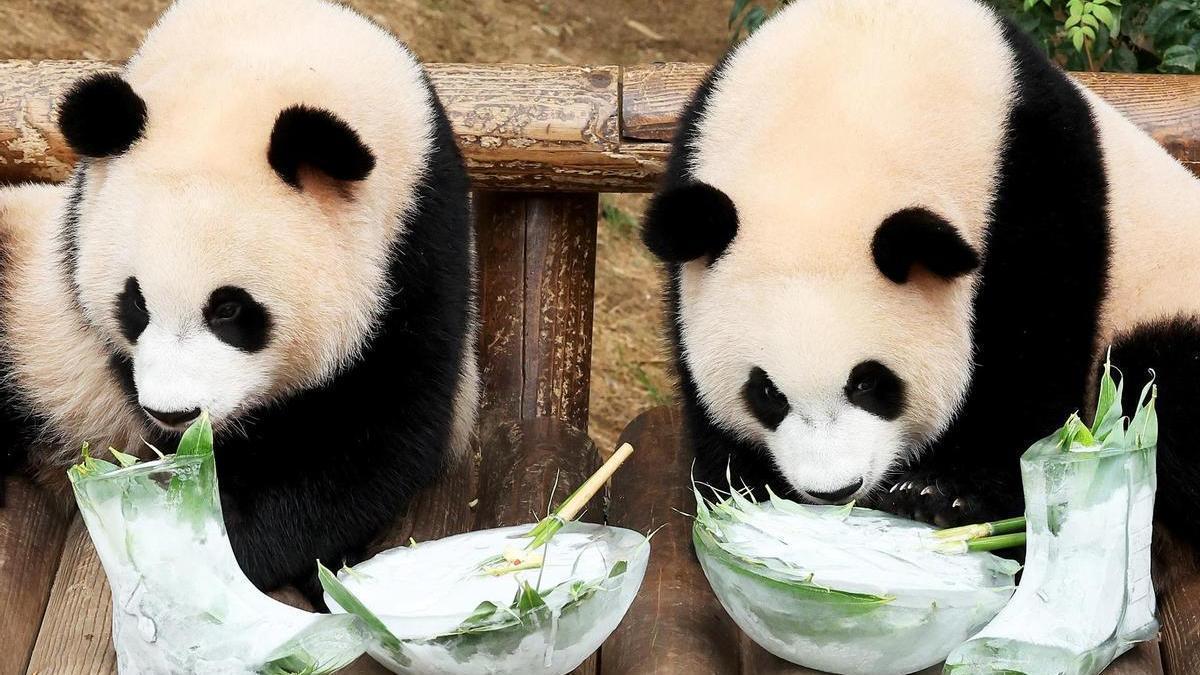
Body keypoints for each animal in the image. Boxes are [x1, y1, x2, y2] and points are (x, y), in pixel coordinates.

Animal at [0, 0, 477, 598]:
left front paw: (227, 542)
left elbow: (372, 433)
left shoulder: (418, 252)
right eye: (134, 304)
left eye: (229, 309)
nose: (174, 412)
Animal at [648, 0, 1200, 540]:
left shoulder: (1033, 191)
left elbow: (1029, 350)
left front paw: (945, 494)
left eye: (870, 382)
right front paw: (742, 482)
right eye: (766, 393)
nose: (834, 489)